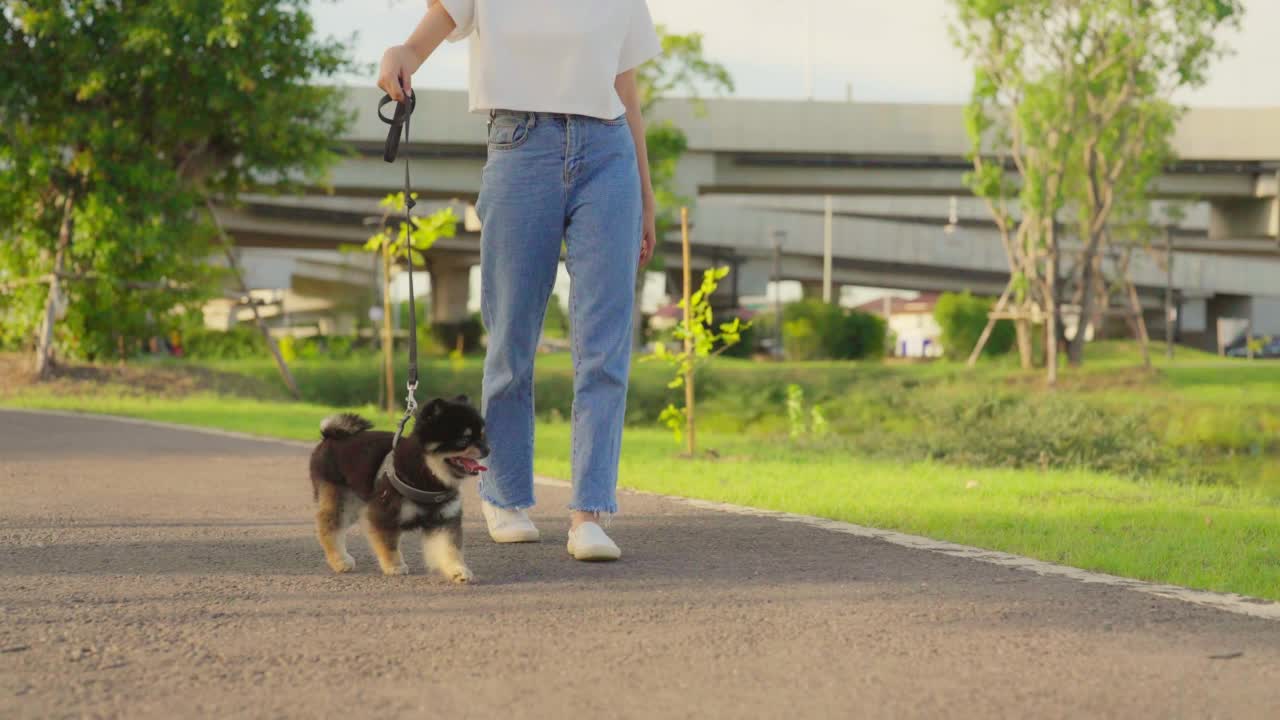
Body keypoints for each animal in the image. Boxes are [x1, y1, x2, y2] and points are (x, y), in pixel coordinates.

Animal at [309, 394, 488, 579]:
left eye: (482, 436)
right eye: (463, 439)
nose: (487, 450)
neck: (428, 476)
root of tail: (329, 436)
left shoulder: (444, 519)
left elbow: (449, 548)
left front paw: (457, 570)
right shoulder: (385, 513)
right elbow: (389, 544)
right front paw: (394, 565)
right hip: (344, 500)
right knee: (328, 527)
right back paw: (340, 560)